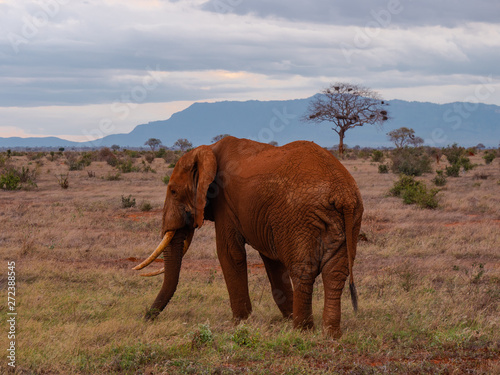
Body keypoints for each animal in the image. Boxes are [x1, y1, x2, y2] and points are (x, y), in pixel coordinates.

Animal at [134, 137, 364, 340]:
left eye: (173, 191)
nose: (146, 317)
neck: (208, 150)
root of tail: (342, 194)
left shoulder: (225, 203)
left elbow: (229, 253)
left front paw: (240, 323)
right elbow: (271, 261)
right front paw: (285, 316)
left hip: (300, 217)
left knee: (303, 270)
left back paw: (302, 331)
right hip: (348, 220)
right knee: (335, 272)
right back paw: (331, 334)